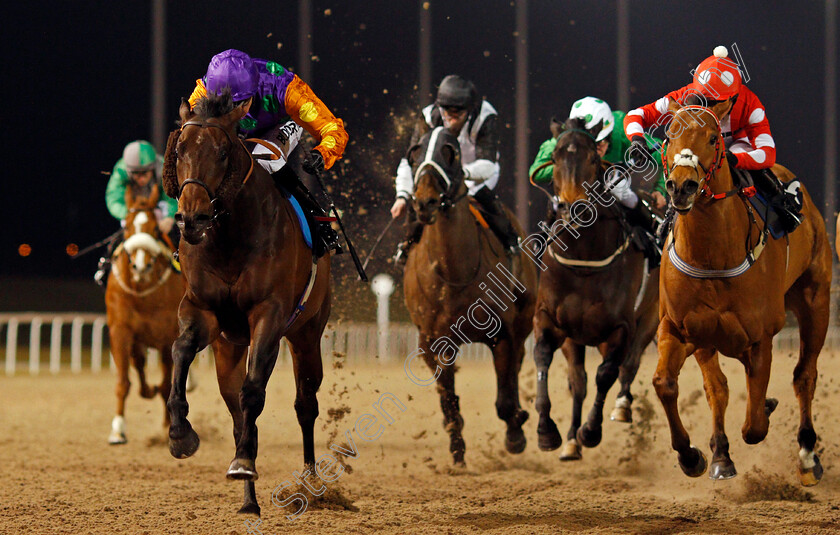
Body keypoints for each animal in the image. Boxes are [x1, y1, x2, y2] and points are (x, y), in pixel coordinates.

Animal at [105, 182, 184, 446]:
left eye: (155, 228)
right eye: (127, 227)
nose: (141, 266)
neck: (142, 294)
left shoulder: (168, 336)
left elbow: (167, 385)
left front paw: (170, 427)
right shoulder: (120, 331)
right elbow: (123, 382)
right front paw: (118, 430)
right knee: (139, 366)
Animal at [161, 94, 332, 516]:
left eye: (222, 153)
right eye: (180, 151)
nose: (192, 217)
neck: (229, 240)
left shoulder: (269, 314)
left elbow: (254, 390)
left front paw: (241, 462)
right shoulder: (202, 310)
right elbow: (180, 351)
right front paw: (180, 434)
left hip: (307, 333)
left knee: (305, 403)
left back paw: (310, 483)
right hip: (228, 349)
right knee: (238, 412)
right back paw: (249, 500)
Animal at [402, 125, 536, 464]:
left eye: (450, 153)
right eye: (414, 154)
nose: (425, 203)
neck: (454, 273)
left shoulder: (503, 334)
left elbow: (505, 397)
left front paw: (516, 435)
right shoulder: (431, 341)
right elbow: (449, 401)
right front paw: (457, 450)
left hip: (524, 318)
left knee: (516, 366)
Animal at [532, 117, 664, 460]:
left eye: (593, 159)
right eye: (555, 159)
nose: (573, 209)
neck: (584, 263)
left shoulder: (621, 327)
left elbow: (607, 374)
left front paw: (591, 430)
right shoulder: (550, 320)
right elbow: (544, 359)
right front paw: (548, 431)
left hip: (649, 318)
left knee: (628, 366)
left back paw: (622, 407)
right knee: (579, 381)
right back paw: (570, 441)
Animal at [656, 100, 828, 486]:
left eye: (712, 138)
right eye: (669, 135)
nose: (682, 187)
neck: (712, 254)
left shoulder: (760, 337)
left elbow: (754, 426)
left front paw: (766, 407)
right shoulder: (678, 329)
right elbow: (666, 384)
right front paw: (692, 456)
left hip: (817, 300)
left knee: (804, 375)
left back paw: (807, 457)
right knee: (717, 389)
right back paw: (721, 454)